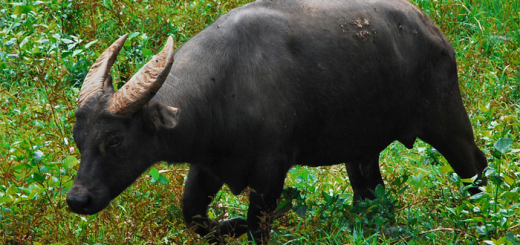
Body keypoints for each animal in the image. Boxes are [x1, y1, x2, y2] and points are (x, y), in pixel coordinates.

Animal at [66, 0, 488, 243]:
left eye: (115, 140)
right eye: (78, 138)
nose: (78, 199)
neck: (227, 85)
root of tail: (432, 30)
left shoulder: (271, 172)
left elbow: (257, 227)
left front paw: (240, 223)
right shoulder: (207, 166)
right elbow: (194, 218)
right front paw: (229, 224)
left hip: (447, 119)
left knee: (476, 165)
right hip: (362, 151)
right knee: (370, 193)